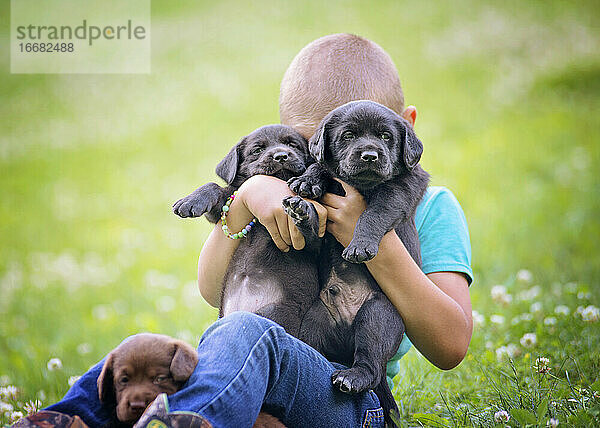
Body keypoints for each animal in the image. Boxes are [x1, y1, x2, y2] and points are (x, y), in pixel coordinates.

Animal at [173, 124, 322, 338]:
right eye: (257, 150)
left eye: (293, 145)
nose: (281, 156)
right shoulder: (224, 207)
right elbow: (215, 187)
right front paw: (191, 200)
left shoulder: (315, 244)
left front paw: (301, 210)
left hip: (276, 311)